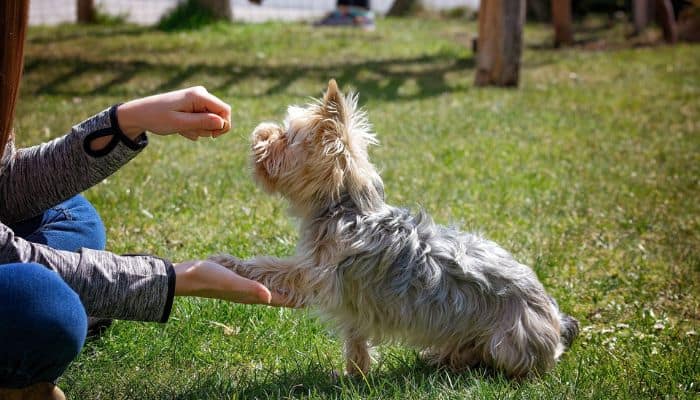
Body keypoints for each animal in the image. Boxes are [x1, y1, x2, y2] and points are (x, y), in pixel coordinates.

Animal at [211, 79, 576, 376]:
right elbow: (356, 340)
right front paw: (354, 375)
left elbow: (271, 266)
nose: (259, 132)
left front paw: (228, 262)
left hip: (509, 341)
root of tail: (556, 320)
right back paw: (442, 358)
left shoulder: (316, 273)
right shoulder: (350, 301)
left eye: (286, 137)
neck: (344, 208)